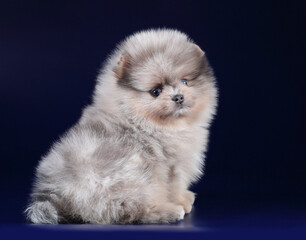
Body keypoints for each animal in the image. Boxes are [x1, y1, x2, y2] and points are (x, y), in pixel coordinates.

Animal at [25, 29, 218, 224]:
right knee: (132, 209)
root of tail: (57, 196)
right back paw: (168, 211)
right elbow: (172, 187)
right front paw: (180, 201)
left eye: (185, 81)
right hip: (129, 177)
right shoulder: (167, 166)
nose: (178, 97)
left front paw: (184, 197)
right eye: (156, 91)